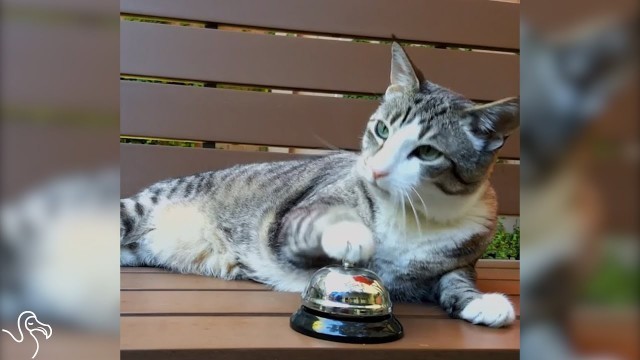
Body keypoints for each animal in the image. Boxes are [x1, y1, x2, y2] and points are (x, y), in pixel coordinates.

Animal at [121, 43, 520, 328]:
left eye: (427, 151)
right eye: (382, 129)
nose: (376, 169)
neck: (411, 216)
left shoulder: (464, 255)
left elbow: (457, 280)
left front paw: (482, 302)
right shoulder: (291, 223)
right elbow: (320, 219)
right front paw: (354, 235)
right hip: (136, 211)